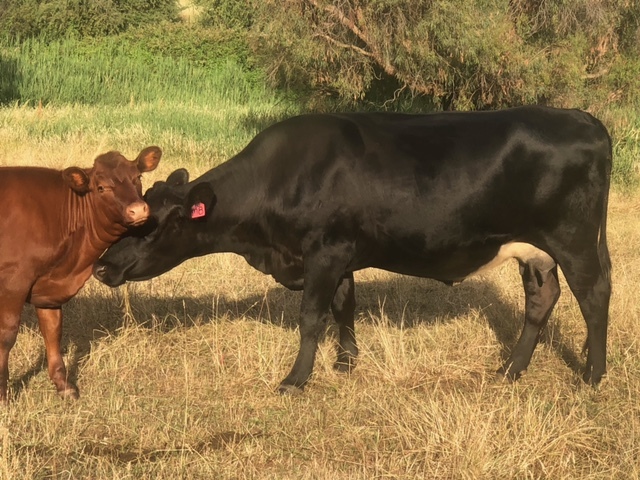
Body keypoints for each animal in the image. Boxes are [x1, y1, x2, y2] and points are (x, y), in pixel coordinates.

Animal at [0, 147, 161, 401]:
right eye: (101, 187)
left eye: (138, 177)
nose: (138, 210)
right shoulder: (14, 281)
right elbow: (6, 336)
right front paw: (3, 395)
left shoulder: (50, 288)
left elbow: (53, 331)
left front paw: (63, 385)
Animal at [93, 106, 612, 394]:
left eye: (150, 224)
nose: (100, 266)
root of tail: (583, 118)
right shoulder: (339, 256)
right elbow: (345, 307)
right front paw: (345, 364)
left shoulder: (325, 250)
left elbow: (310, 317)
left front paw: (295, 380)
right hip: (537, 251)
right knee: (541, 300)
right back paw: (510, 370)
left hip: (574, 240)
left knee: (594, 297)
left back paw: (592, 375)